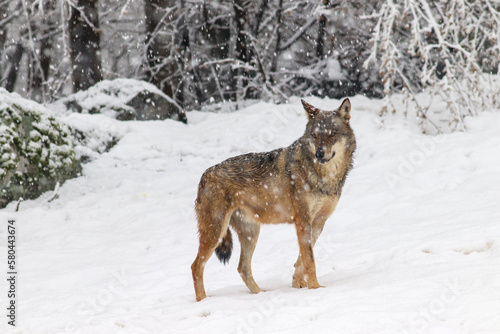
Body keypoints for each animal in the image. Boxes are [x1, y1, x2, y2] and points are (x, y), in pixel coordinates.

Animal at [190, 98, 356, 302]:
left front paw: (298, 283)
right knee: (196, 266)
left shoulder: (318, 222)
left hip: (251, 232)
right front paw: (316, 288)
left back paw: (259, 294)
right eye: (315, 135)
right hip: (215, 231)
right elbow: (309, 260)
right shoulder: (303, 220)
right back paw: (203, 301)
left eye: (332, 134)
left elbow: (302, 260)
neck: (325, 176)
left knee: (242, 267)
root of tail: (204, 175)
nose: (319, 154)